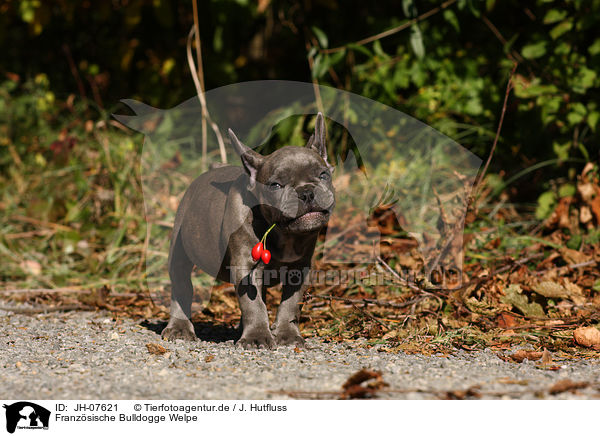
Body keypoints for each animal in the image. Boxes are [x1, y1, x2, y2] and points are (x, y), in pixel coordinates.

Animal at [162, 114, 336, 350]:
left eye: (323, 174)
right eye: (275, 185)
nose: (306, 192)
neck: (283, 232)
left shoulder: (300, 268)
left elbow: (291, 303)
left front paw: (287, 335)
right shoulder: (246, 264)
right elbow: (253, 304)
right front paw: (257, 337)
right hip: (179, 248)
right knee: (181, 286)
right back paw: (180, 328)